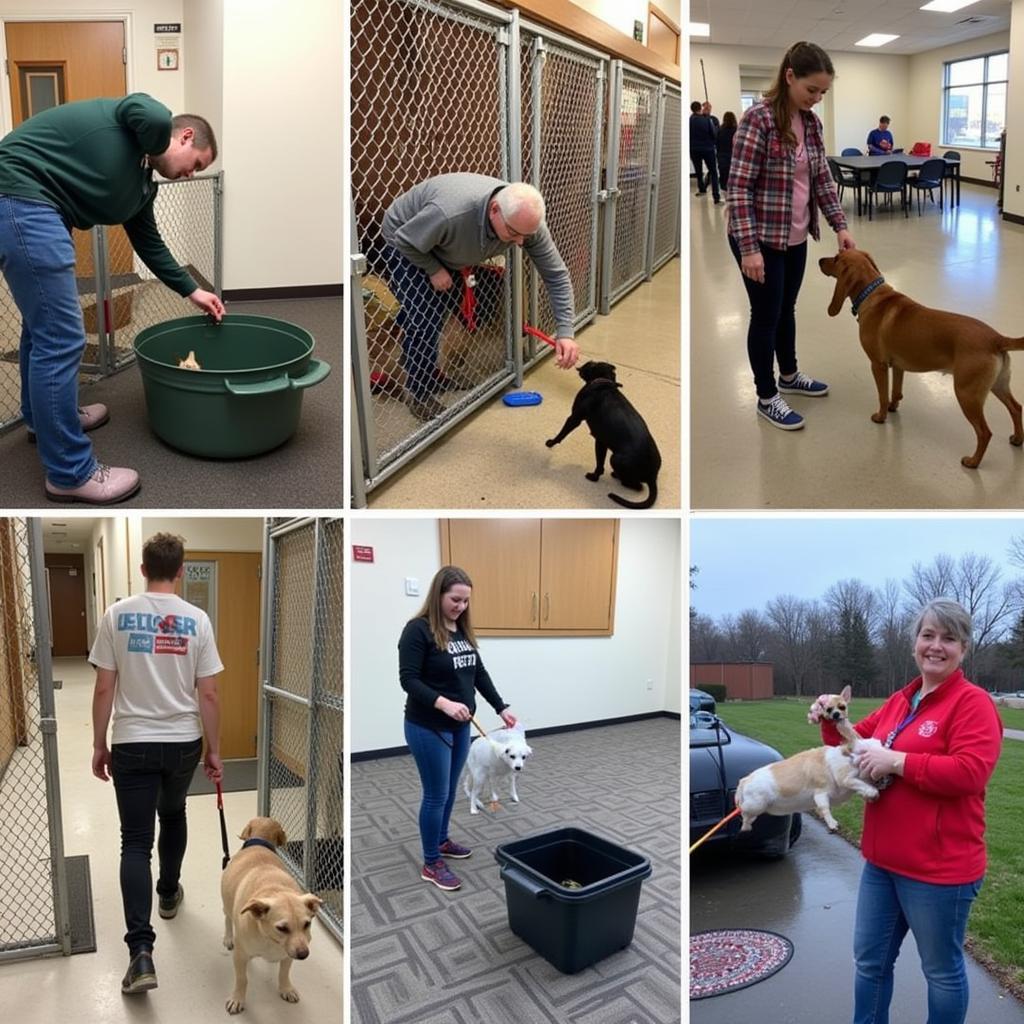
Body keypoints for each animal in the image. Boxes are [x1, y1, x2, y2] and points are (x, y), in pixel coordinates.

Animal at [222, 815, 321, 1015]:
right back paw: (228, 937)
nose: (304, 954)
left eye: (307, 924)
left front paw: (286, 989)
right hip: (227, 904)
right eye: (282, 928)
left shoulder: (289, 955)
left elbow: (284, 973)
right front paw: (238, 998)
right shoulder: (240, 956)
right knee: (227, 919)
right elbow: (242, 979)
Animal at [544, 360, 663, 507]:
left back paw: (617, 476)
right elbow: (599, 465)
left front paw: (551, 442)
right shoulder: (601, 442)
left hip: (615, 459)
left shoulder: (574, 418)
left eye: (590, 365)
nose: (585, 362)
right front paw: (595, 476)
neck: (604, 382)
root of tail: (653, 477)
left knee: (637, 486)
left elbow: (561, 434)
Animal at [737, 688, 880, 831]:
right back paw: (745, 825)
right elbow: (825, 807)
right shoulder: (822, 792)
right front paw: (833, 824)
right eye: (864, 752)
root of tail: (744, 781)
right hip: (756, 805)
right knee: (744, 812)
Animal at [819, 249, 1024, 466]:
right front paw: (893, 407)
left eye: (837, 258)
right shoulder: (898, 366)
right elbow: (895, 392)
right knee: (1016, 408)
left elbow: (882, 395)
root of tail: (996, 338)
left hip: (967, 394)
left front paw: (881, 417)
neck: (873, 295)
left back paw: (973, 461)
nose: (819, 261)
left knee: (984, 432)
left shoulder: (878, 365)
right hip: (998, 385)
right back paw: (1018, 439)